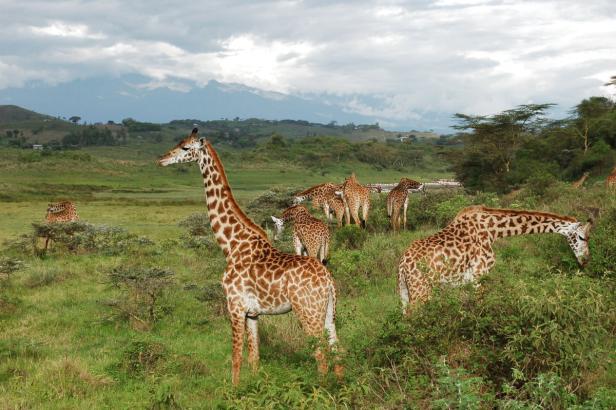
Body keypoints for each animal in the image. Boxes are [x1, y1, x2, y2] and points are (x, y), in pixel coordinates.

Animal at [158, 130, 342, 386]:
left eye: (185, 148)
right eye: (178, 143)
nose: (161, 159)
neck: (232, 245)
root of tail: (327, 280)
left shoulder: (234, 306)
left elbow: (236, 357)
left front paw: (234, 391)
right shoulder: (253, 313)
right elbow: (254, 357)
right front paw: (255, 387)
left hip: (308, 311)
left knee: (321, 354)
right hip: (328, 313)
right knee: (337, 350)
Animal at [398, 205, 596, 310]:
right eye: (581, 237)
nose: (585, 260)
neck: (493, 231)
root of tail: (402, 265)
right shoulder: (479, 275)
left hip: (405, 292)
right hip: (422, 291)